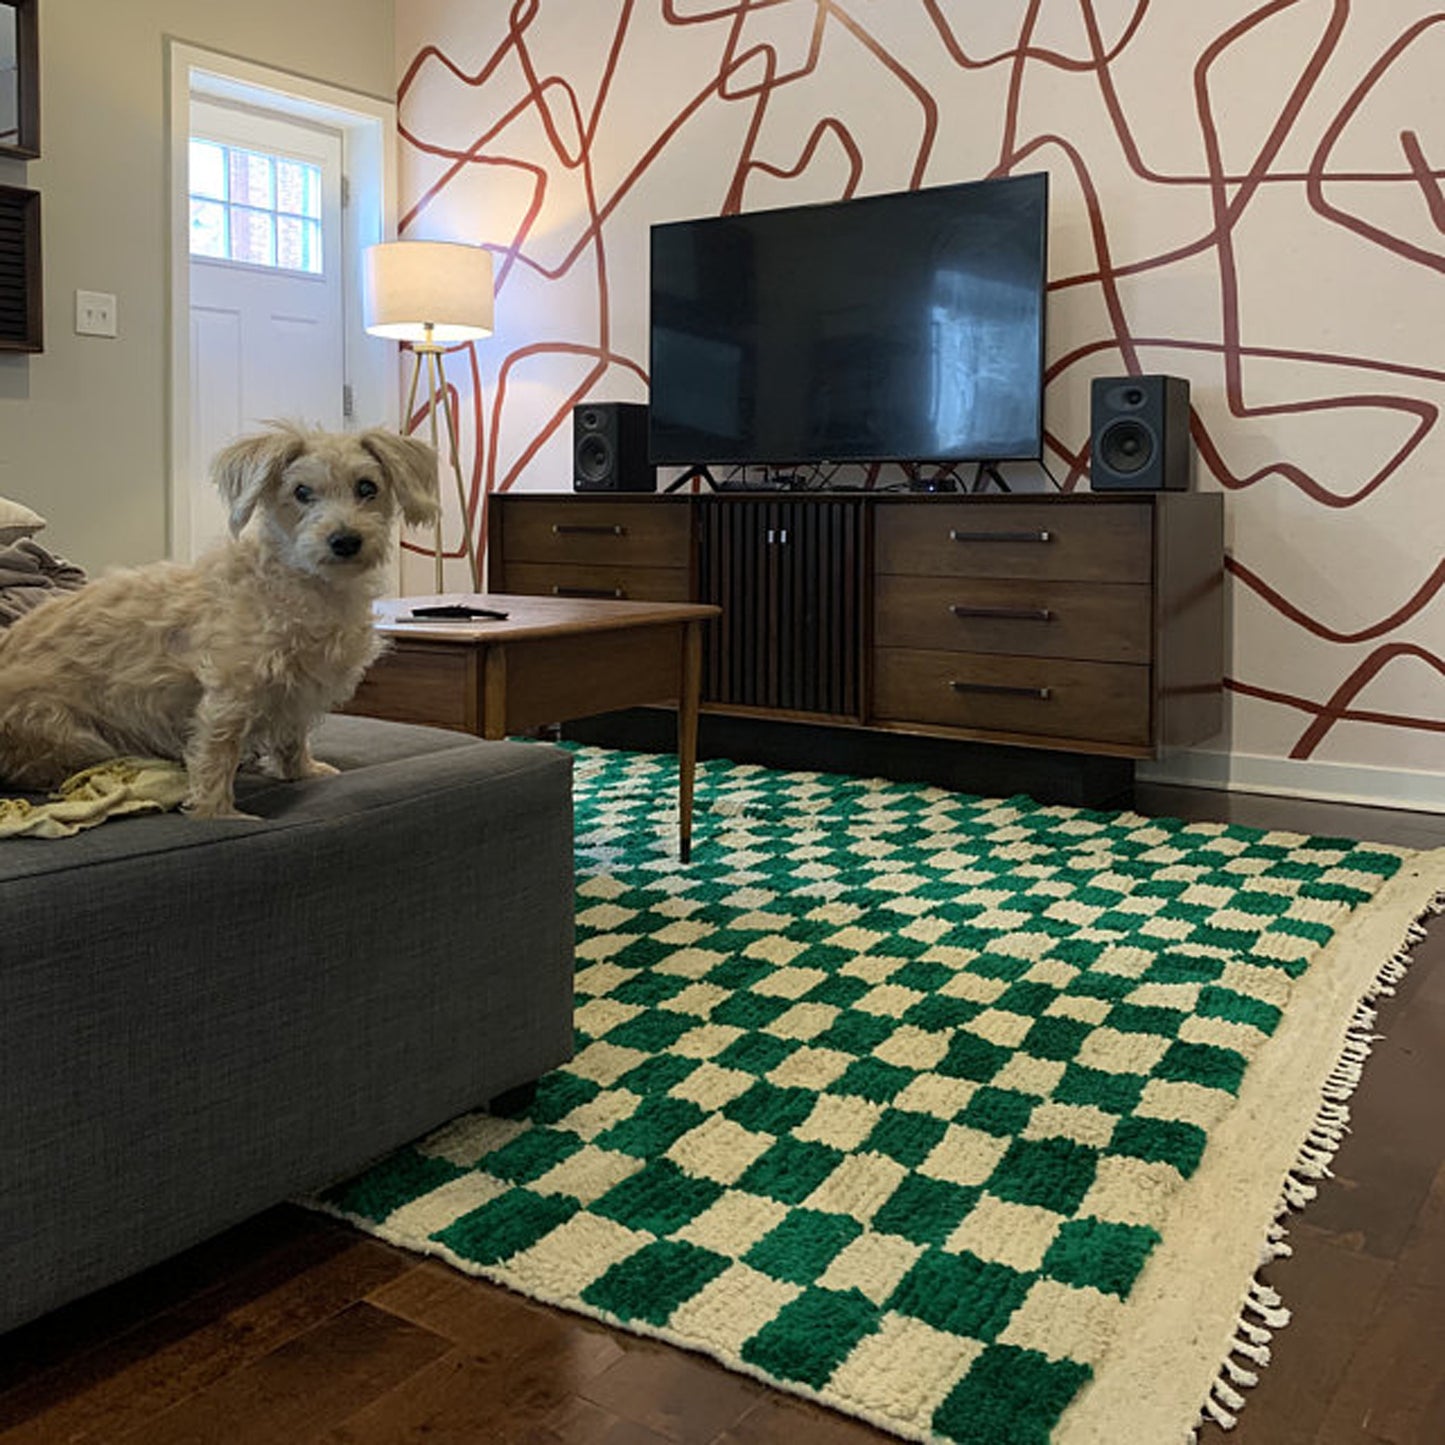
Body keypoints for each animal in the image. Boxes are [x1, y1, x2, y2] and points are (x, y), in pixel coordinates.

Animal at [0, 421, 436, 820]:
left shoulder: (297, 692)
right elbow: (216, 754)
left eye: (367, 487)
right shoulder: (230, 693)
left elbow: (293, 737)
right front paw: (218, 814)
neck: (305, 582)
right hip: (69, 731)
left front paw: (303, 772)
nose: (345, 541)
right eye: (301, 492)